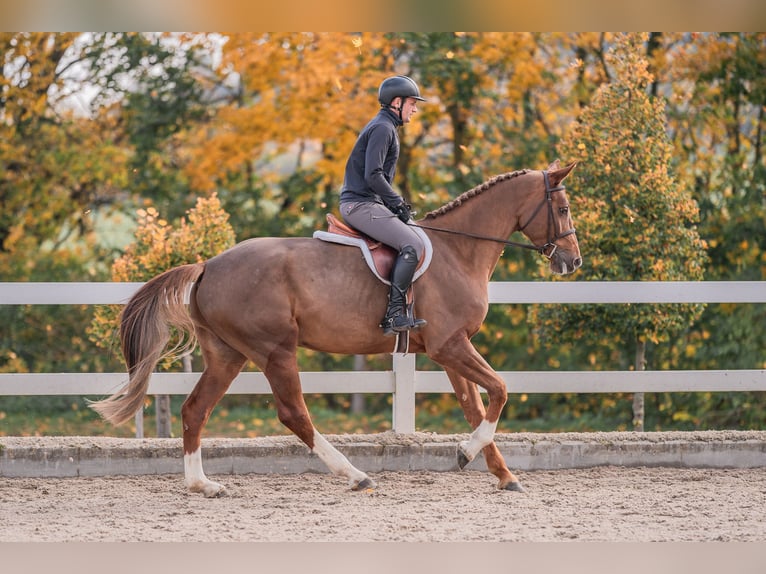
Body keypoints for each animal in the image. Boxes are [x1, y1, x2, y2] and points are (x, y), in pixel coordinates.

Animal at [91, 160, 581, 497]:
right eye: (562, 207)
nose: (572, 262)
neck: (458, 251)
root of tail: (208, 264)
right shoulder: (450, 346)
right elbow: (499, 391)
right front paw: (467, 453)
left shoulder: (448, 350)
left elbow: (476, 407)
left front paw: (501, 474)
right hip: (274, 350)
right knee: (294, 414)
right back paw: (355, 475)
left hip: (228, 355)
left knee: (196, 410)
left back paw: (202, 485)